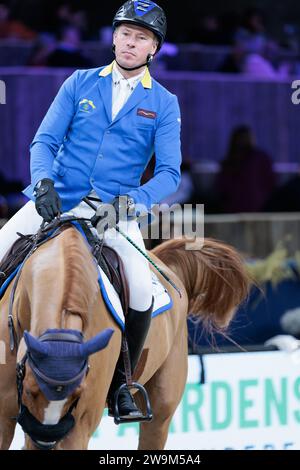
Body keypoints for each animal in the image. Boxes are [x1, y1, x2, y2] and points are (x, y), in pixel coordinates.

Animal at [0, 226, 248, 450]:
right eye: (30, 390)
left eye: (77, 396)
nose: (45, 439)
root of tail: (163, 265)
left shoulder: (78, 427)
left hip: (161, 410)